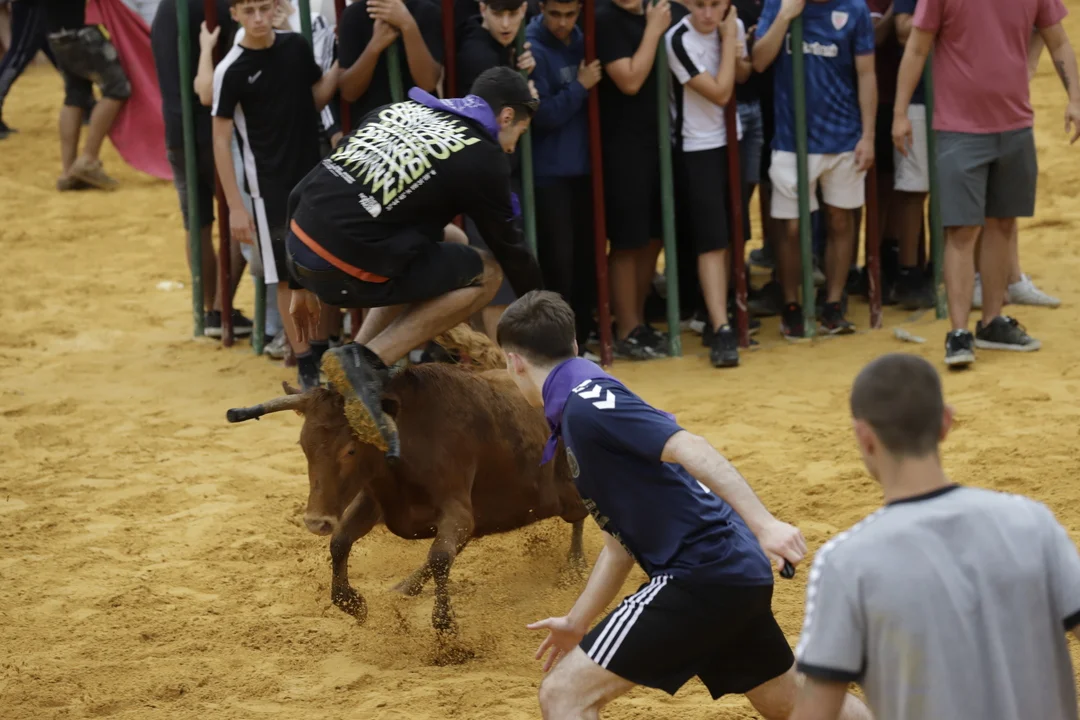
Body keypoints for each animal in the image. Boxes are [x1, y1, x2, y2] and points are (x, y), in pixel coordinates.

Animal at [226, 329, 588, 635]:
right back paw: (406, 587)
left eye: (350, 449)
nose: (316, 522)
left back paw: (575, 566)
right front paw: (354, 604)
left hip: (566, 493)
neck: (409, 437)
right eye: (304, 445)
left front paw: (446, 631)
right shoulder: (375, 500)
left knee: (580, 517)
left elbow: (440, 556)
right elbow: (341, 541)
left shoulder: (457, 510)